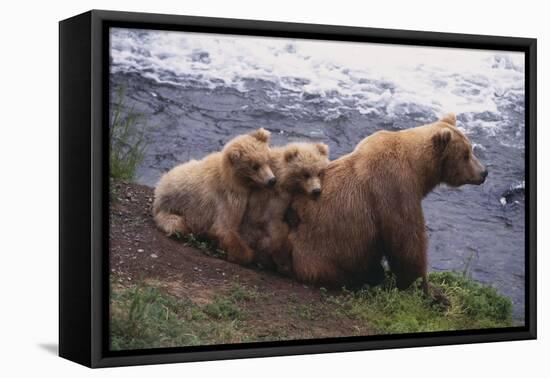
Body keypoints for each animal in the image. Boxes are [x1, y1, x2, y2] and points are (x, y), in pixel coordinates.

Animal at [153, 128, 276, 264]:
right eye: (255, 166)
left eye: (267, 160)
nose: (272, 180)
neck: (236, 181)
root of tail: (159, 187)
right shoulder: (227, 198)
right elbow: (224, 228)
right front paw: (248, 254)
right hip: (171, 210)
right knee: (178, 225)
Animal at [288, 113, 488, 298]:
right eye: (466, 155)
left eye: (471, 149)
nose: (484, 172)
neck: (418, 170)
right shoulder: (394, 188)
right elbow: (407, 242)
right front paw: (431, 293)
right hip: (320, 255)